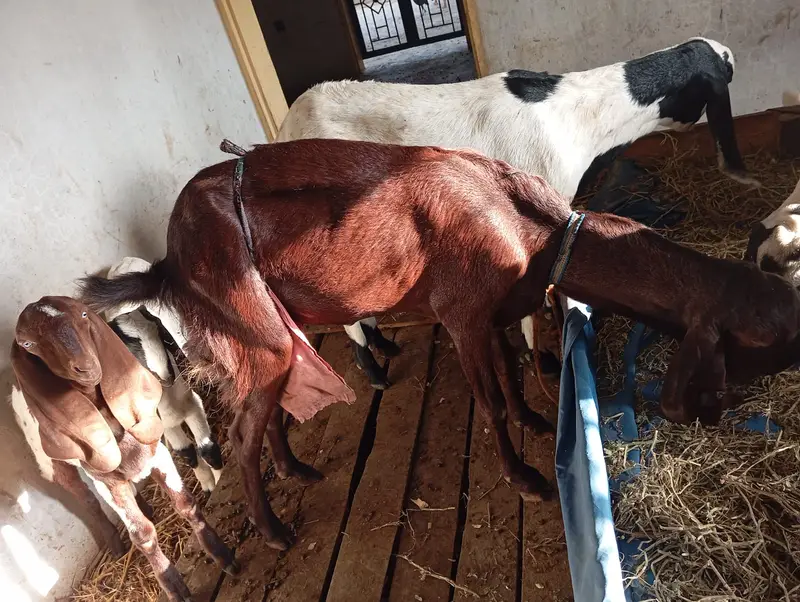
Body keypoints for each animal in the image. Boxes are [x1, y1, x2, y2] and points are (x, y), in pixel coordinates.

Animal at [11, 296, 238, 602]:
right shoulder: (155, 437)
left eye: (161, 332)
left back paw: (146, 507)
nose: (165, 375)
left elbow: (203, 456)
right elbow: (184, 459)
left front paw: (219, 484)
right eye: (28, 344)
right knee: (87, 499)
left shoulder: (182, 411)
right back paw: (115, 544)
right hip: (55, 464)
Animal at [79, 139, 800, 553]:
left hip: (271, 332)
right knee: (243, 430)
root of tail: (171, 256)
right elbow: (488, 396)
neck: (530, 225)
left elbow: (509, 373)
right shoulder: (461, 314)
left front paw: (536, 419)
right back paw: (275, 531)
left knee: (268, 407)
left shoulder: (492, 311)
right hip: (249, 317)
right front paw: (526, 478)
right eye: (777, 331)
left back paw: (298, 471)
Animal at [277, 36, 758, 389]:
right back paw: (373, 369)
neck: (578, 116)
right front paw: (542, 358)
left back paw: (383, 345)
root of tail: (287, 123)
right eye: (727, 72)